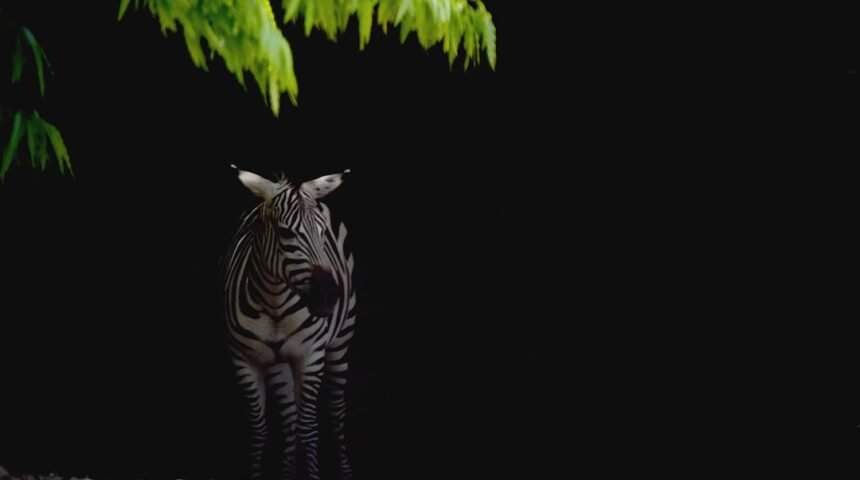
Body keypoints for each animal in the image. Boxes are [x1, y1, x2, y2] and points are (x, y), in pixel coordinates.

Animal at [225, 165, 357, 480]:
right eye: (285, 233)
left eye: (323, 233)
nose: (329, 297)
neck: (274, 301)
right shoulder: (244, 361)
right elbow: (259, 430)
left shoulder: (310, 357)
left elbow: (309, 429)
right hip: (277, 364)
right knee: (288, 420)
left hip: (341, 341)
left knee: (335, 411)